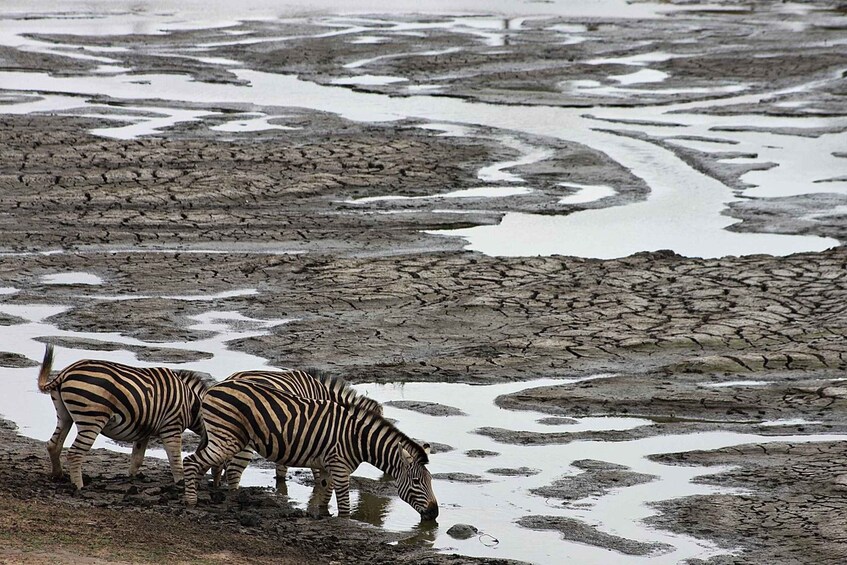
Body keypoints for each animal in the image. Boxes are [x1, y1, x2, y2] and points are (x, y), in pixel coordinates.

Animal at [37, 344, 208, 490]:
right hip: (92, 419)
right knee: (75, 453)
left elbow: (137, 459)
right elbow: (175, 460)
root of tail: (66, 372)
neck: (191, 403)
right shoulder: (171, 426)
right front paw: (181, 483)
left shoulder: (144, 429)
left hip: (64, 415)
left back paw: (58, 475)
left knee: (53, 445)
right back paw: (78, 487)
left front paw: (131, 479)